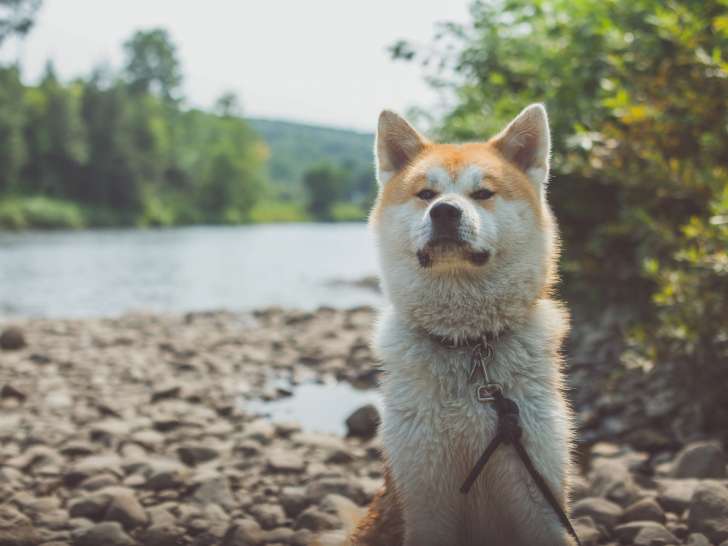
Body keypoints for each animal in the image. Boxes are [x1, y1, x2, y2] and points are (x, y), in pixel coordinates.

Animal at [346, 103, 576, 544]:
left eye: (483, 193)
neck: (467, 341)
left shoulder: (538, 490)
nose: (445, 211)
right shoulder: (424, 494)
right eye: (426, 194)